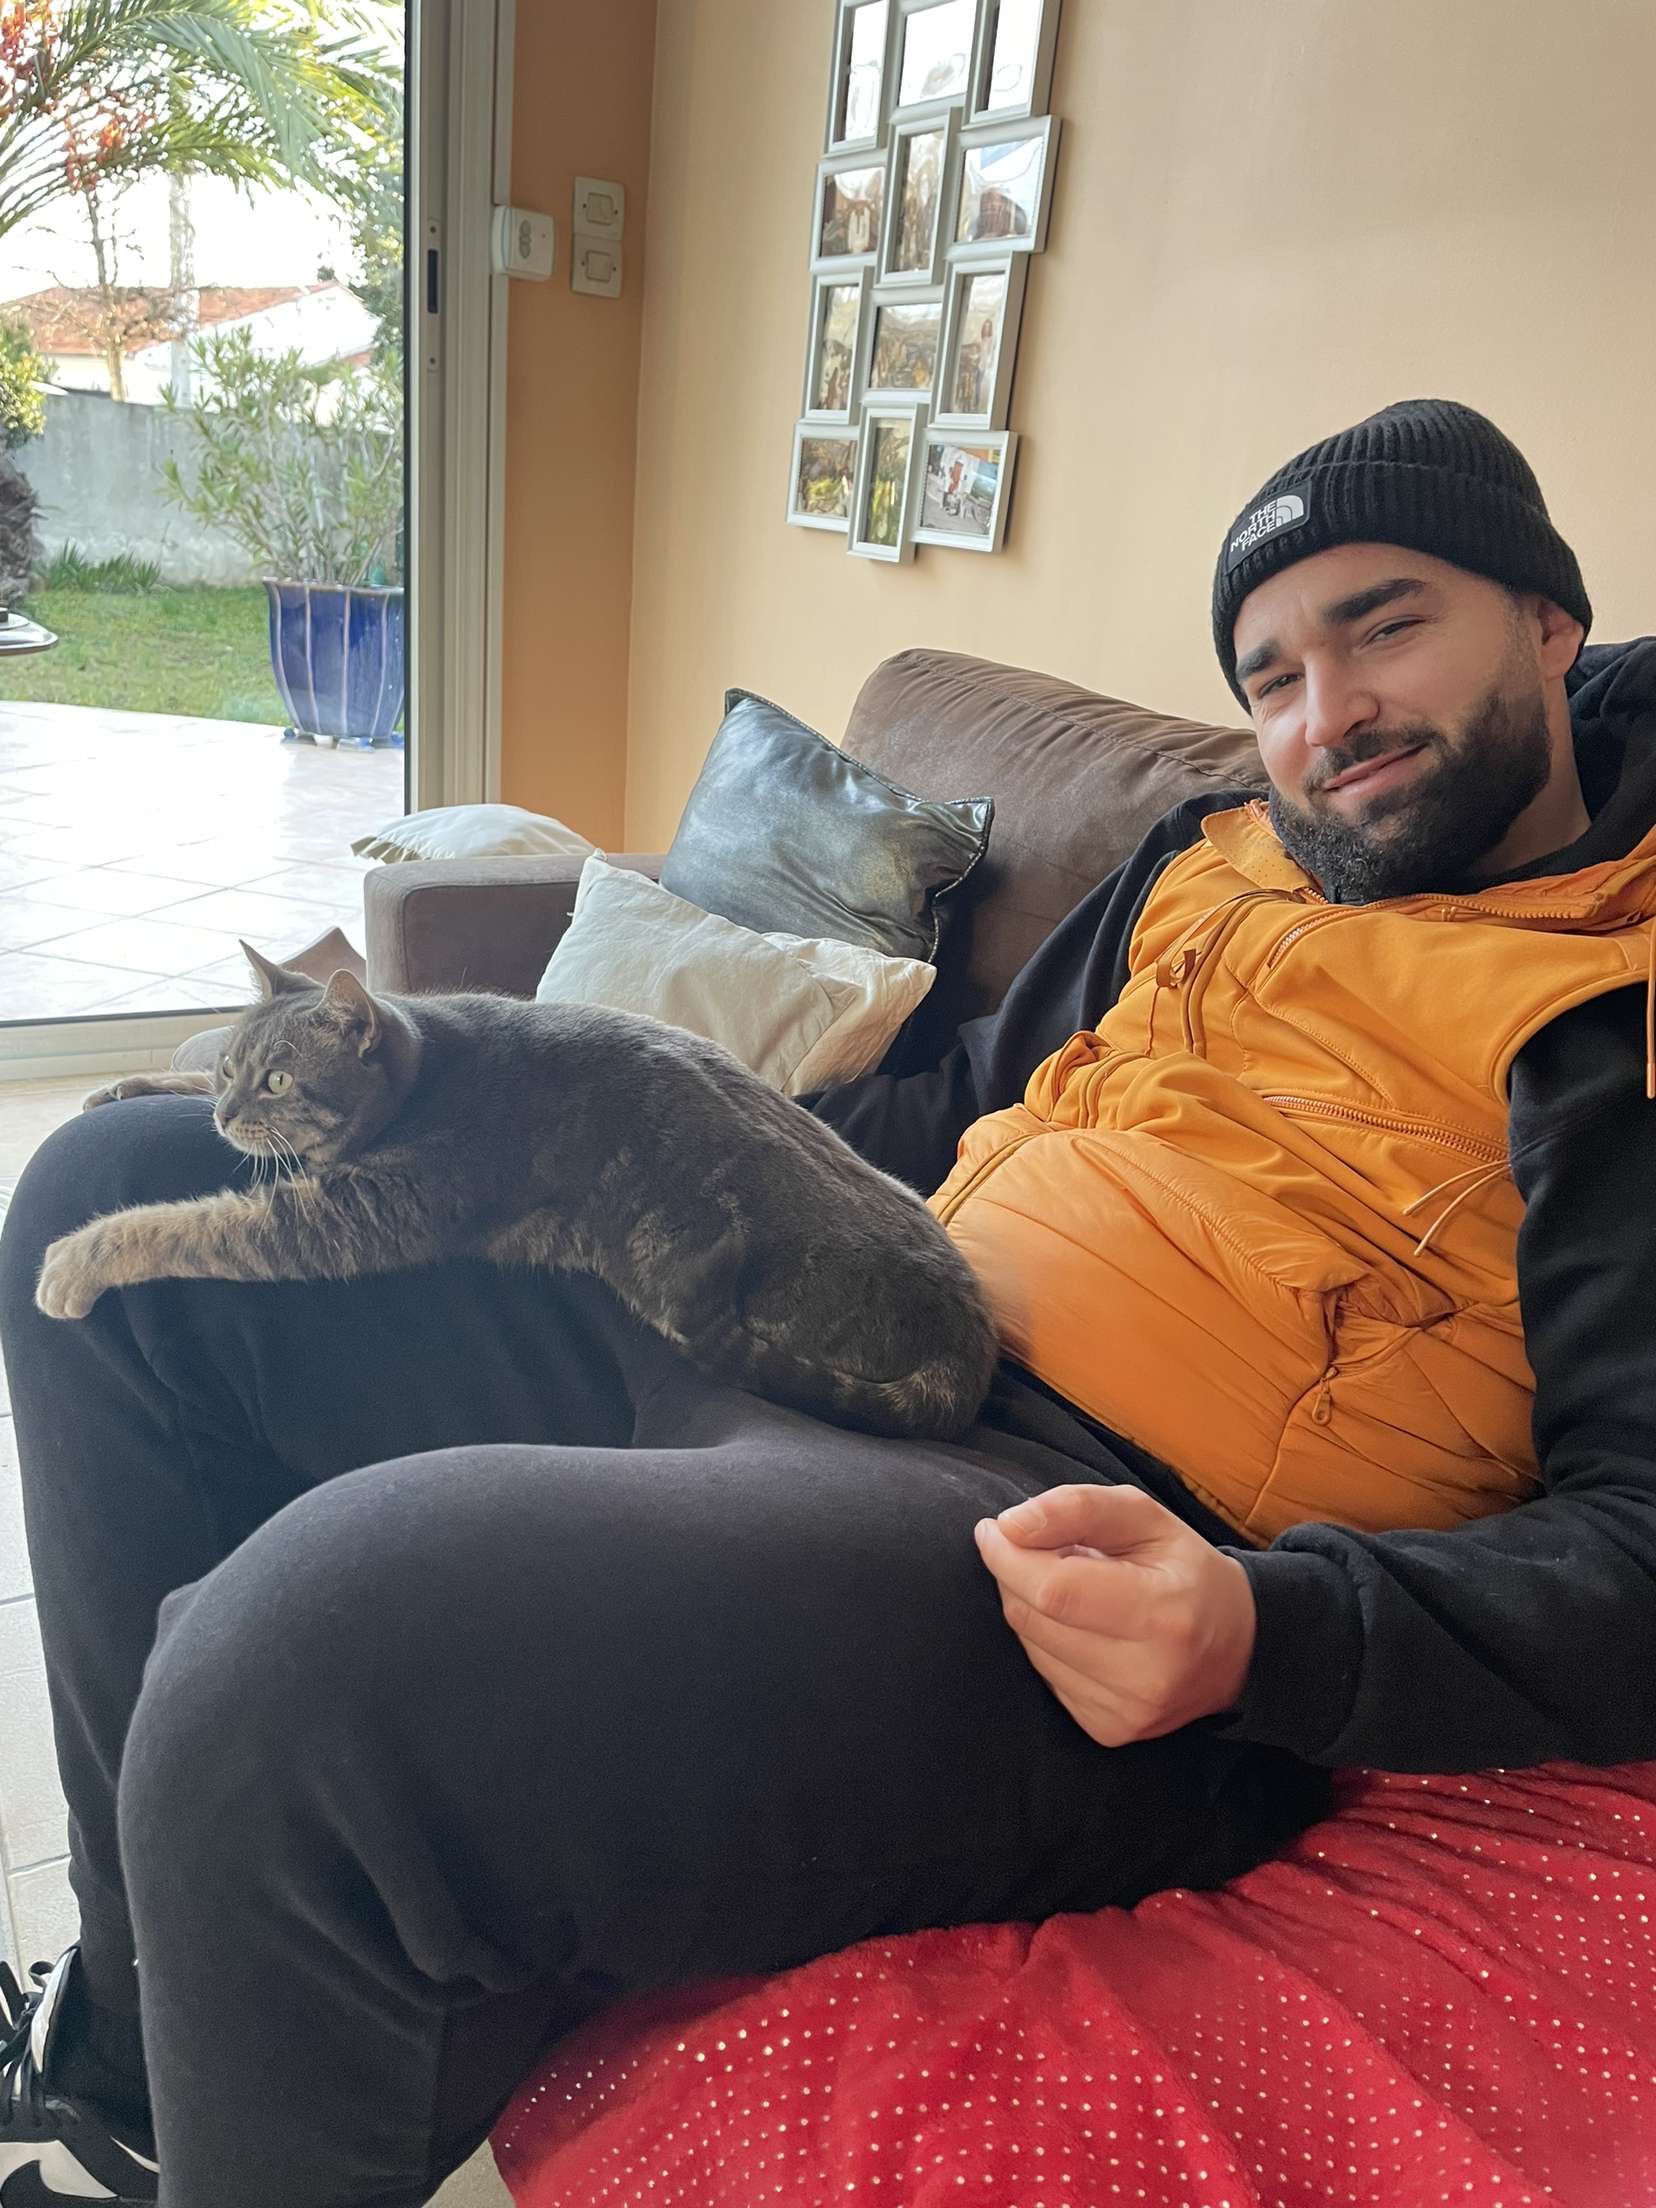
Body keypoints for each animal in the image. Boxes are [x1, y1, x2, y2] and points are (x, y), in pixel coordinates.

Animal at [36, 943, 1001, 1441]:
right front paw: (129, 1086)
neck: (424, 1069)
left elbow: (186, 1226)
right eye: (232, 1067)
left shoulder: (347, 1216)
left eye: (276, 1081)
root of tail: (970, 1337)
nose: (232, 1111)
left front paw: (77, 1258)